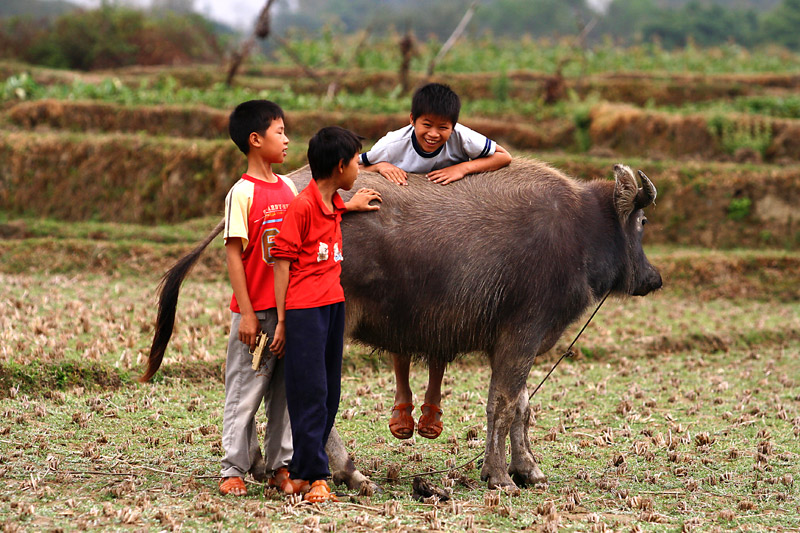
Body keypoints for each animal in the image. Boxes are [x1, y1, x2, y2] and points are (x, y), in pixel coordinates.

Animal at [141, 158, 660, 490]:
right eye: (642, 222)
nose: (653, 278)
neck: (579, 230)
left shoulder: (517, 344)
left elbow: (524, 407)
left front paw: (528, 470)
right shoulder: (521, 334)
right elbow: (504, 404)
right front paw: (499, 477)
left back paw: (268, 467)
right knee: (308, 388)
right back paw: (347, 472)